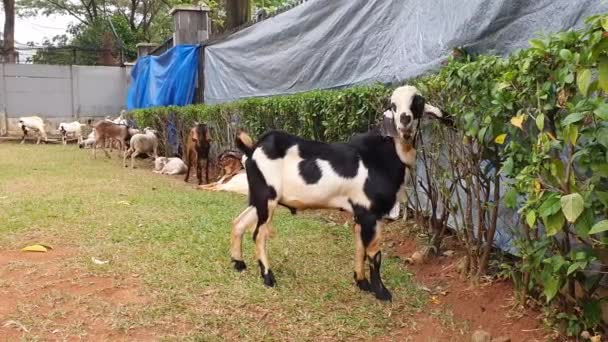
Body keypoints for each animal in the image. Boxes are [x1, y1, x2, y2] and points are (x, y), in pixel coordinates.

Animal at [230, 86, 448, 302]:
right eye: (393, 105)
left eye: (418, 102)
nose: (405, 120)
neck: (386, 153)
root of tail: (252, 149)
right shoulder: (371, 213)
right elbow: (374, 253)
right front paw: (381, 292)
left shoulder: (361, 213)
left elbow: (360, 248)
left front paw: (362, 283)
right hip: (267, 197)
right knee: (259, 234)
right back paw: (268, 277)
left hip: (259, 198)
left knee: (239, 221)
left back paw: (238, 263)